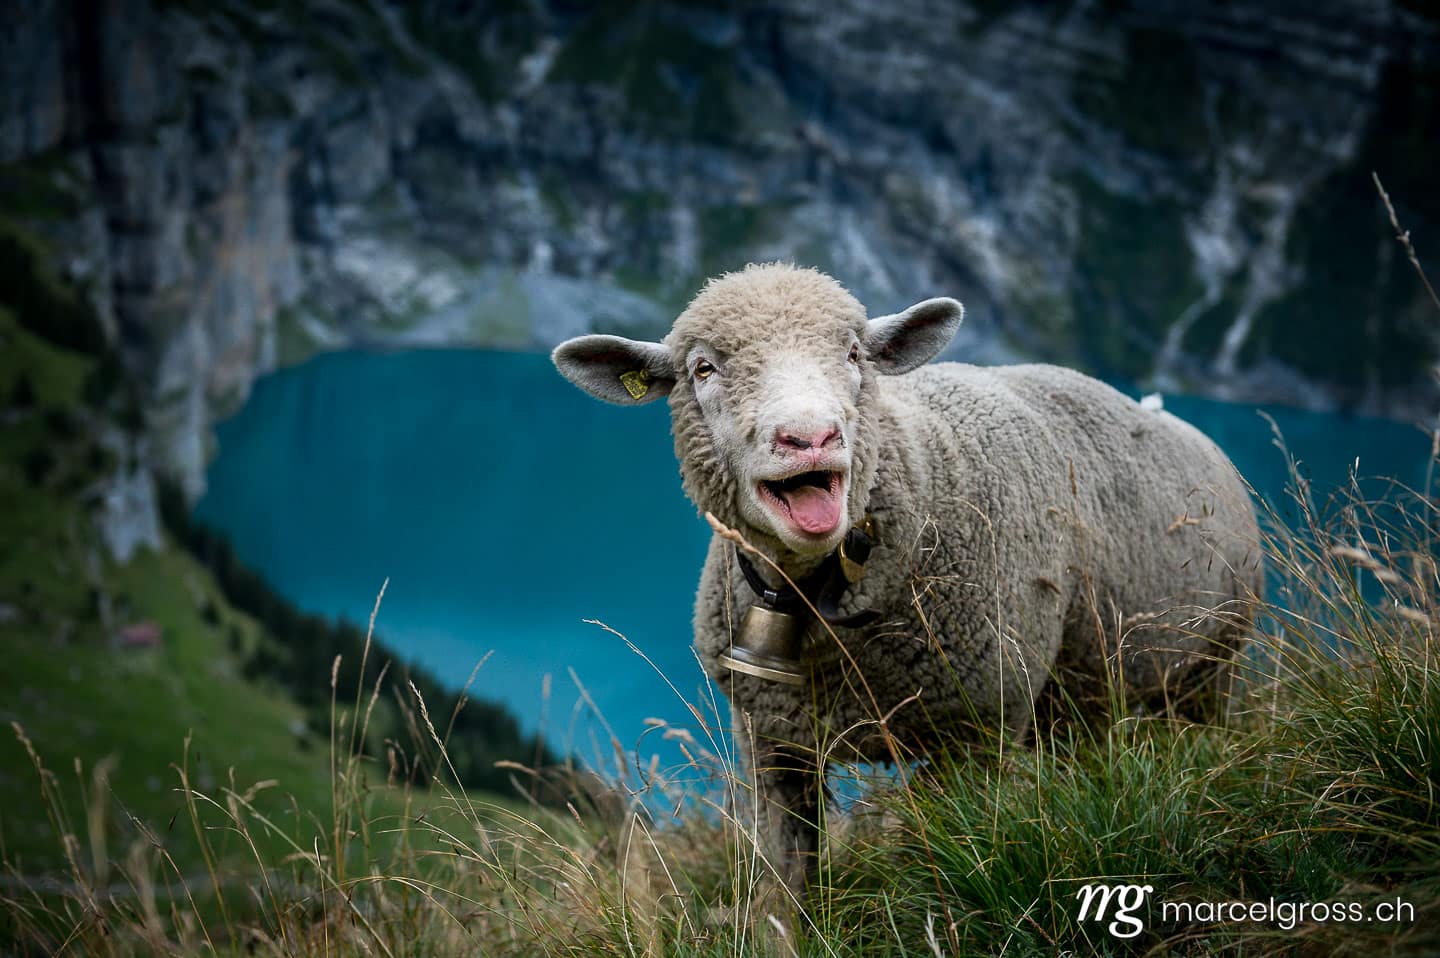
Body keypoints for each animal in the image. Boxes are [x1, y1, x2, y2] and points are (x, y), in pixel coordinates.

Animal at [552, 262, 1262, 912]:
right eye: (703, 370)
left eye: (853, 353)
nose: (809, 437)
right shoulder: (770, 742)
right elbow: (782, 891)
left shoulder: (981, 728)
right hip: (1082, 695)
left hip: (1214, 664)